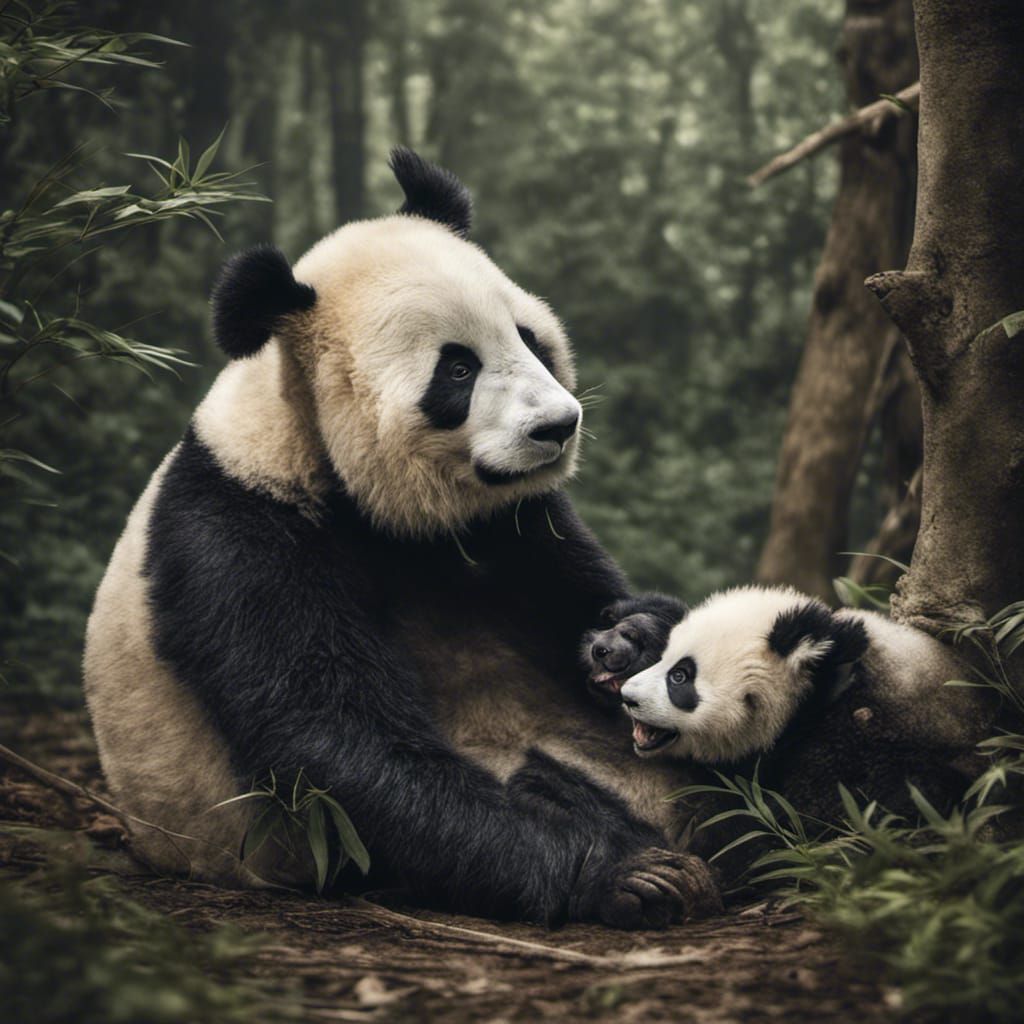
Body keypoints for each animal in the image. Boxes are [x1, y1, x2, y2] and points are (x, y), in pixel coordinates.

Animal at [83, 148, 721, 930]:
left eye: (528, 337)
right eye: (458, 368)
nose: (558, 426)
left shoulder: (511, 521)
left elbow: (582, 609)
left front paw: (633, 636)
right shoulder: (243, 534)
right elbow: (334, 736)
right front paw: (624, 872)